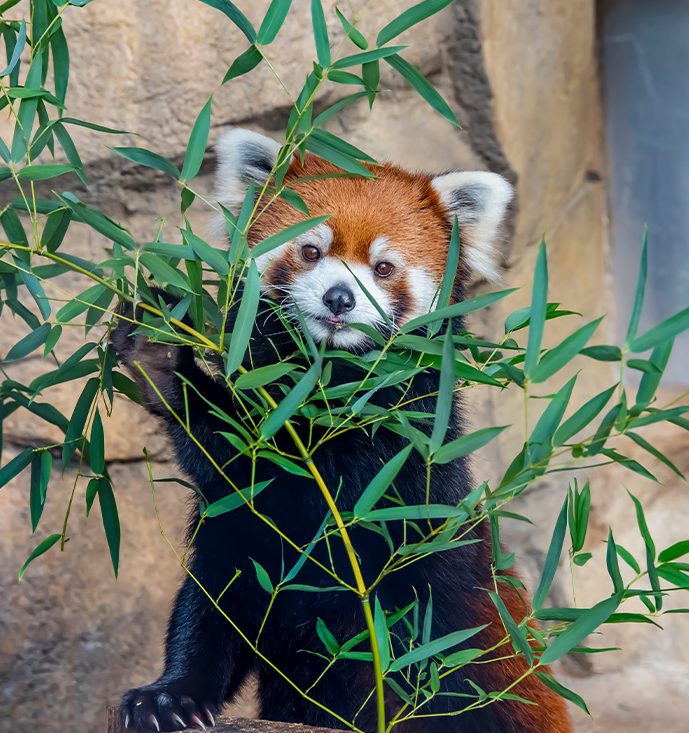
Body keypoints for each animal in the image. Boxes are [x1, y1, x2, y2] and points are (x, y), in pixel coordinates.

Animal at [114, 129, 568, 728]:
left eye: (383, 267)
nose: (339, 298)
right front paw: (169, 696)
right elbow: (214, 603)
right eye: (311, 250)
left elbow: (301, 473)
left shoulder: (396, 469)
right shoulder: (239, 522)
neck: (322, 385)